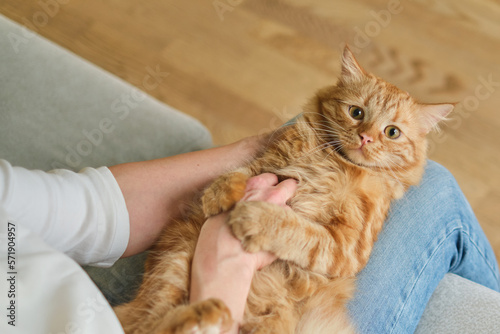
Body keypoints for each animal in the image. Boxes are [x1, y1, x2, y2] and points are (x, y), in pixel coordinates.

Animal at [115, 47, 456, 334]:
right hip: (175, 261)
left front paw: (254, 218)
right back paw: (202, 312)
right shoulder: (270, 164)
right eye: (357, 113)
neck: (334, 162)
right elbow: (241, 172)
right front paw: (219, 193)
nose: (366, 138)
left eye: (392, 132)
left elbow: (297, 230)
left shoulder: (346, 247)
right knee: (147, 324)